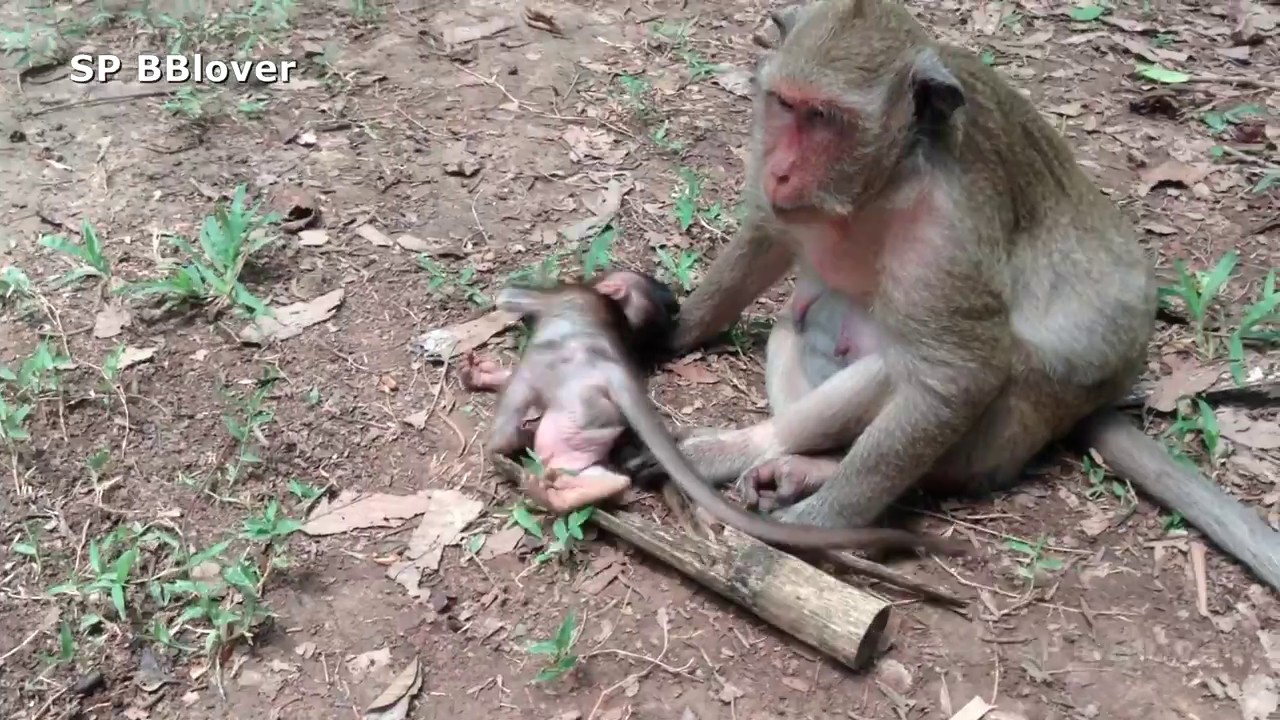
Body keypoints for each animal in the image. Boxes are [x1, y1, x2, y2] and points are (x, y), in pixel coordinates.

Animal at [463, 269, 965, 555]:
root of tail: (615, 374)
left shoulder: (559, 296)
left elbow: (513, 297)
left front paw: (503, 304)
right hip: (590, 417)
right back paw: (584, 489)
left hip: (565, 388)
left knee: (524, 399)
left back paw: (507, 446)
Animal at [623, 0, 1280, 591]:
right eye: (786, 105)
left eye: (827, 119)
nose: (781, 171)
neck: (879, 186)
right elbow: (763, 239)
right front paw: (664, 329)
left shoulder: (947, 233)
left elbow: (959, 377)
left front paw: (815, 525)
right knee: (800, 324)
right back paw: (772, 451)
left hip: (1022, 421)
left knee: (920, 371)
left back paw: (779, 462)